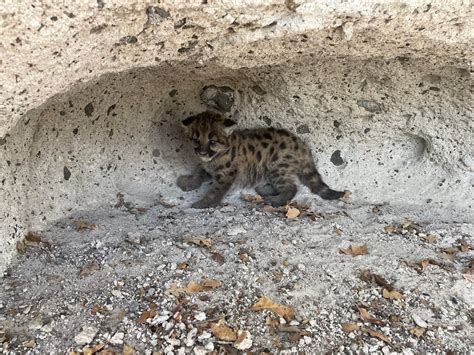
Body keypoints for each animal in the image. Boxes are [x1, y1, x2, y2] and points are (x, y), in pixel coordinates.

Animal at [178, 112, 344, 209]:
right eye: (195, 140)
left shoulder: (226, 174)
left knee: (291, 187)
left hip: (277, 166)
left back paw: (274, 200)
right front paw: (188, 182)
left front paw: (203, 203)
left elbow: (215, 191)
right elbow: (199, 170)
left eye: (212, 142)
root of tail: (301, 145)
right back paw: (265, 190)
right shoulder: (207, 165)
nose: (201, 152)